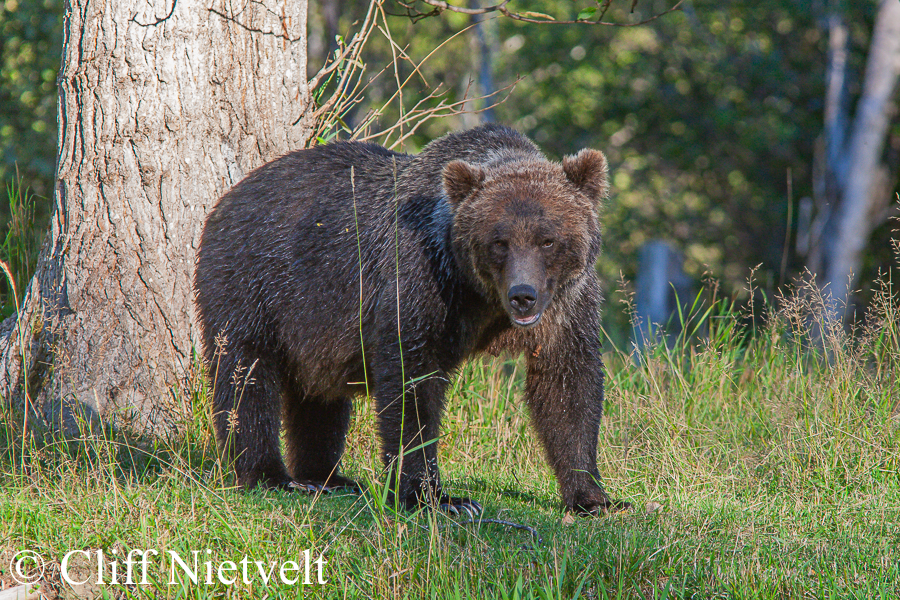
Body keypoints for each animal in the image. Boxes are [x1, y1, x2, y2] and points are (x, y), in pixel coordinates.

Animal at [196, 124, 620, 512]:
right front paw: (435, 496)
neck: (481, 298)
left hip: (312, 322)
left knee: (318, 397)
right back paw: (268, 475)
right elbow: (411, 380)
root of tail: (227, 198)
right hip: (253, 282)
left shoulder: (566, 303)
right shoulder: (422, 276)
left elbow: (568, 384)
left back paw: (326, 477)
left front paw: (592, 495)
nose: (523, 297)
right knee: (247, 376)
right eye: (499, 242)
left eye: (547, 239)